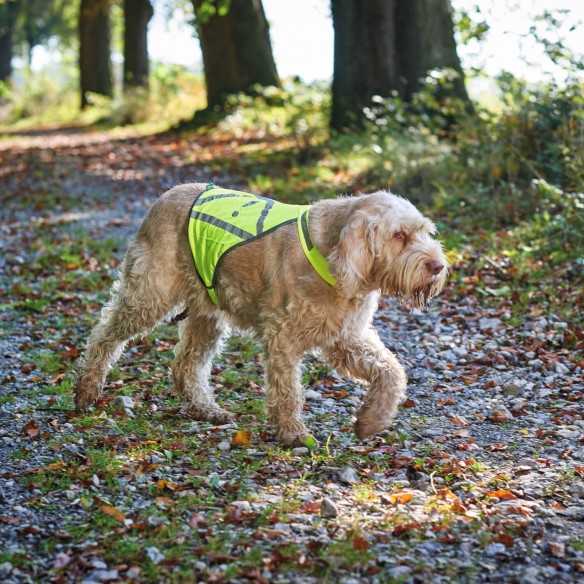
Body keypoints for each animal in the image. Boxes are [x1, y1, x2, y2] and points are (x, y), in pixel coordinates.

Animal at [76, 182, 448, 448]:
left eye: (425, 231)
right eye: (399, 235)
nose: (438, 266)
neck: (337, 257)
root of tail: (163, 198)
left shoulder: (346, 338)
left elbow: (391, 372)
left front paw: (372, 421)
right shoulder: (283, 338)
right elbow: (288, 392)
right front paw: (293, 434)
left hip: (206, 315)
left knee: (185, 365)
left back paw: (206, 409)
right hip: (148, 296)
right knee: (104, 334)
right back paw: (86, 390)